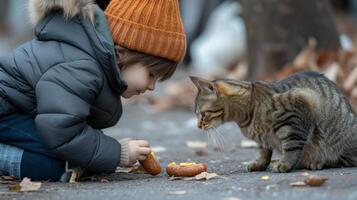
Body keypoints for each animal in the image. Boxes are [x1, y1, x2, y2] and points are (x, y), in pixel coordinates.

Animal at [191, 70, 356, 172]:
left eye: (203, 114)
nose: (198, 126)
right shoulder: (262, 139)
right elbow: (263, 152)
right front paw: (259, 164)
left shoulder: (294, 117)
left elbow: (291, 146)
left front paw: (285, 164)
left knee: (343, 160)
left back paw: (317, 162)